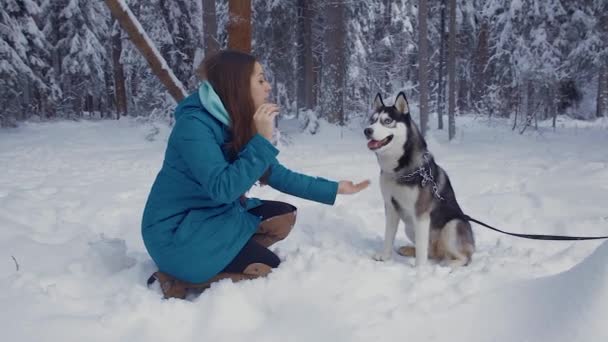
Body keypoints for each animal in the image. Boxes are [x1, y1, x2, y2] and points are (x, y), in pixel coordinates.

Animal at [366, 91, 476, 268]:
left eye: (387, 121)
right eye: (372, 120)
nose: (367, 130)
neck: (399, 170)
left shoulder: (421, 213)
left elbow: (421, 247)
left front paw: (419, 269)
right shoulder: (390, 206)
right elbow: (389, 236)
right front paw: (385, 256)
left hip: (453, 226)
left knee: (465, 257)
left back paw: (448, 263)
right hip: (410, 227)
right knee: (430, 251)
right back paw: (409, 250)